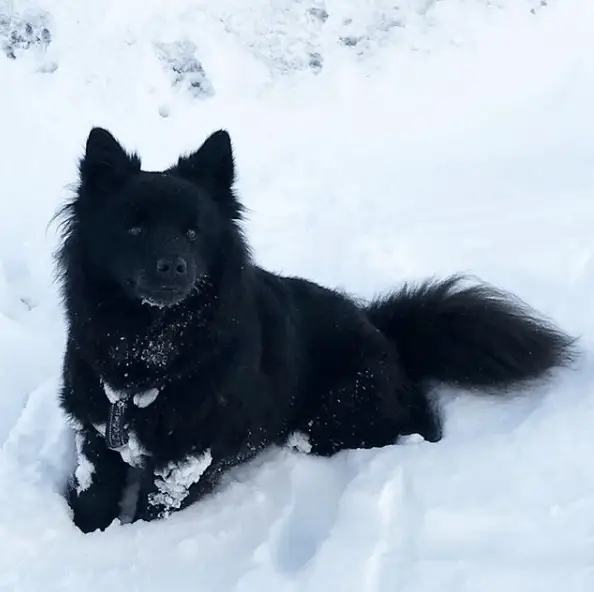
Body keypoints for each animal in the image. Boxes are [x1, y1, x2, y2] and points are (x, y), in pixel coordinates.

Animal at [55, 127, 572, 536]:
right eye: (134, 228)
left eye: (193, 232)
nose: (174, 266)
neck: (147, 352)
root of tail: (386, 334)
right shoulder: (94, 433)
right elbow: (93, 494)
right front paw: (87, 533)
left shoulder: (186, 459)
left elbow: (152, 512)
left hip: (329, 417)